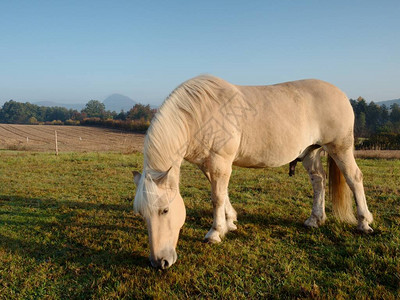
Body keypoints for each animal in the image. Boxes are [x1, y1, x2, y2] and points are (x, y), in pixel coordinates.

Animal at [133, 75, 374, 270]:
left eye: (164, 210)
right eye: (142, 214)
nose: (159, 262)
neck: (200, 114)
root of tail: (340, 94)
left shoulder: (220, 162)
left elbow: (217, 197)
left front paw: (215, 233)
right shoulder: (210, 165)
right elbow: (222, 194)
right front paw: (230, 222)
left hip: (339, 148)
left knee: (354, 178)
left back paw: (364, 223)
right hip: (310, 152)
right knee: (318, 181)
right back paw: (315, 219)